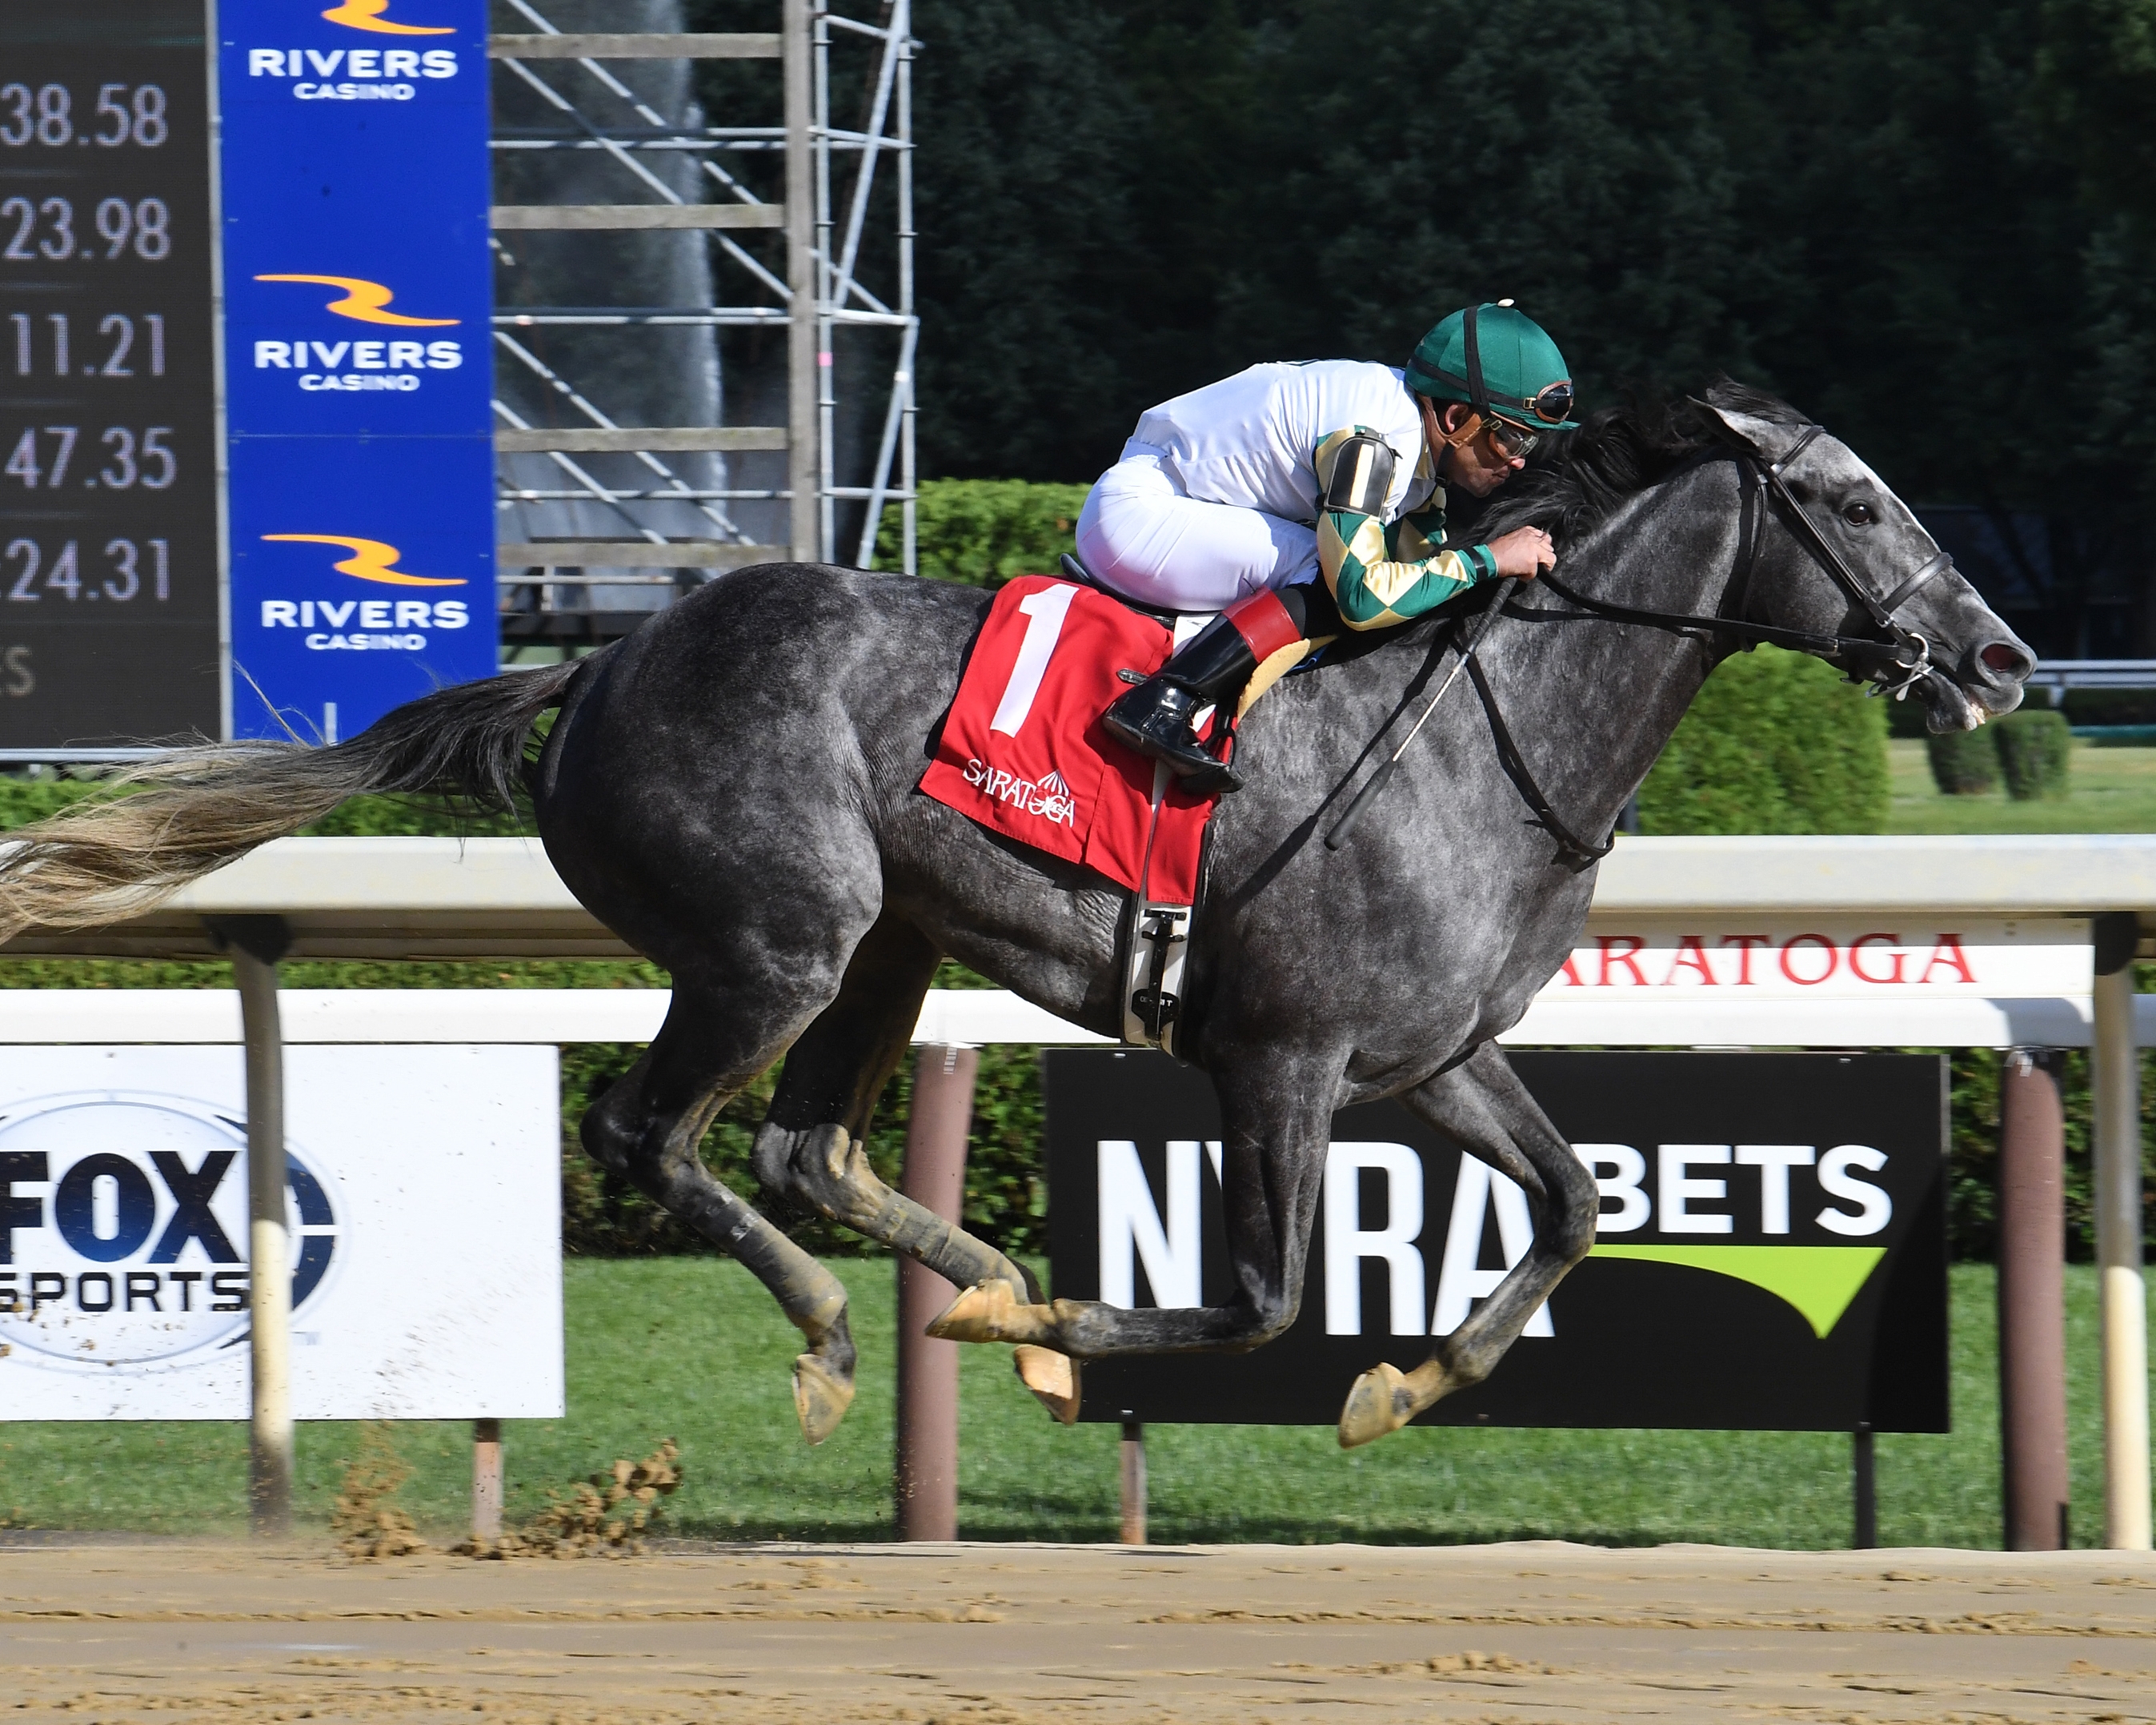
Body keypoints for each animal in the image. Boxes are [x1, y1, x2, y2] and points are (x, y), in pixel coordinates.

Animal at [0, 383, 2032, 1449]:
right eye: (1856, 501)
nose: (2002, 660)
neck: (1487, 724)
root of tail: (597, 663)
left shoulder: (1431, 1056)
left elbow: (1576, 1205)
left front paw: (1410, 1376)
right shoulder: (1277, 1056)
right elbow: (1252, 1297)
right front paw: (1066, 1321)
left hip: (884, 944)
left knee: (805, 1142)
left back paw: (961, 1276)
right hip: (776, 938)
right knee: (651, 1132)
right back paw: (859, 1329)